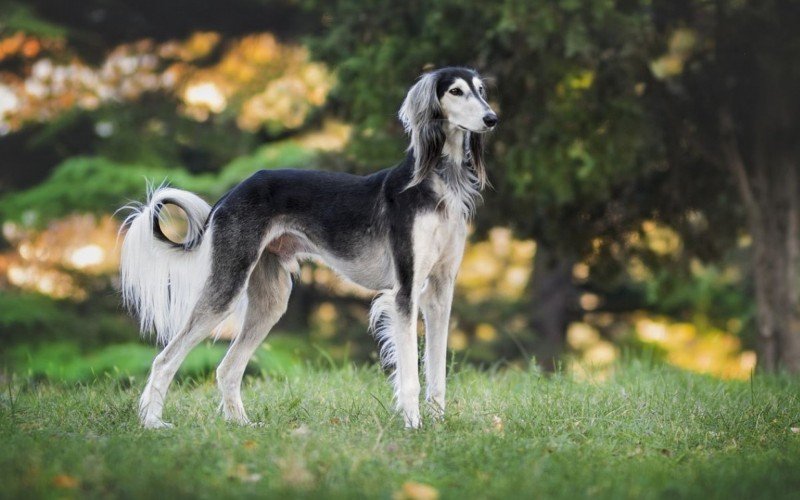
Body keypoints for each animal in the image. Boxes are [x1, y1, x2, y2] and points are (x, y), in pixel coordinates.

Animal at [119, 66, 496, 428]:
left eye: (481, 89)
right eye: (455, 91)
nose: (491, 118)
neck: (437, 183)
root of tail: (230, 194)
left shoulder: (440, 291)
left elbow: (437, 371)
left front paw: (438, 424)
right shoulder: (405, 291)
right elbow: (410, 376)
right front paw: (413, 425)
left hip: (270, 300)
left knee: (227, 368)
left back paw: (241, 424)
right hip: (227, 286)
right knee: (164, 359)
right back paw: (152, 422)